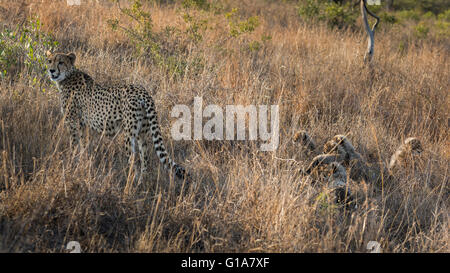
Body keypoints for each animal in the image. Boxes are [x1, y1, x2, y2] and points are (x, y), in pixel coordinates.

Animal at [46, 51, 186, 181]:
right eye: (49, 61)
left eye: (61, 62)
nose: (51, 70)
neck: (67, 76)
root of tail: (142, 91)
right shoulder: (82, 125)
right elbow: (84, 145)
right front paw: (83, 161)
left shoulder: (72, 122)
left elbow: (74, 144)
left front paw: (72, 162)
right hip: (142, 133)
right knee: (144, 157)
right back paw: (142, 180)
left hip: (129, 134)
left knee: (132, 159)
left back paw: (131, 181)